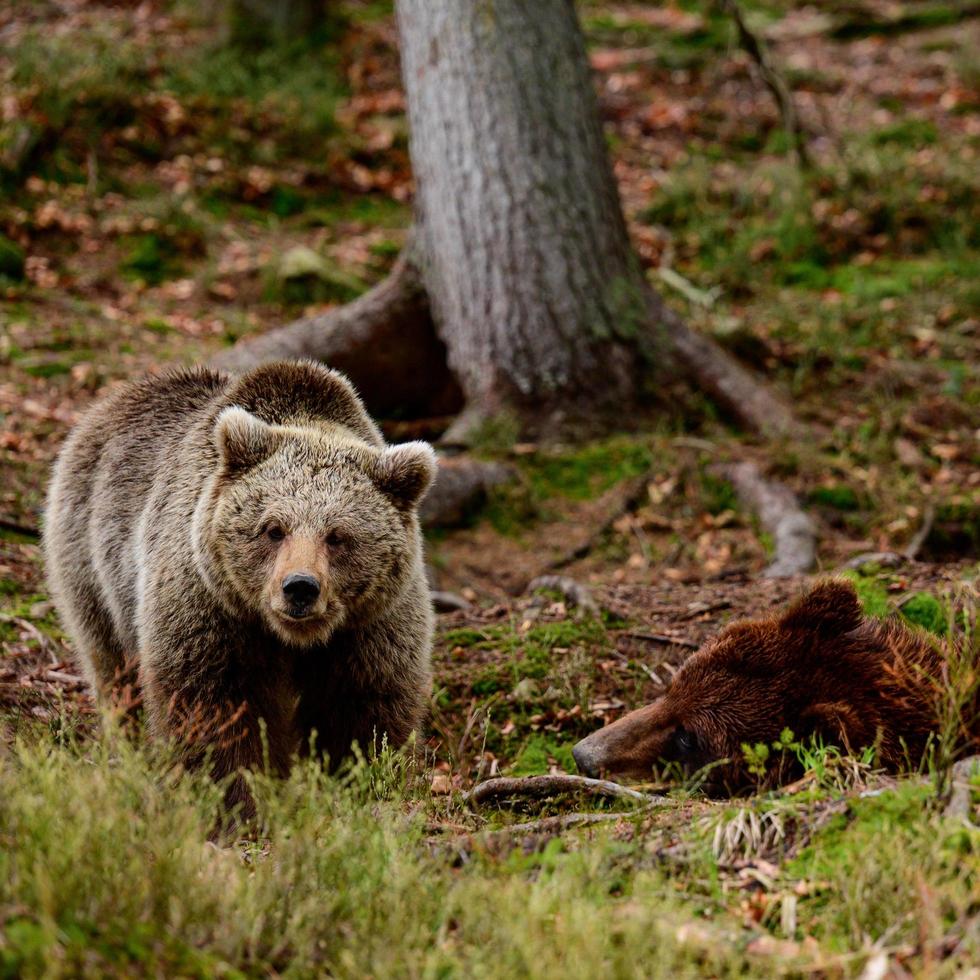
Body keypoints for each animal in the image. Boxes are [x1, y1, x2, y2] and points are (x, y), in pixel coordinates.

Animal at [45, 360, 436, 804]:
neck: (290, 638)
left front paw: (356, 787)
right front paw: (235, 797)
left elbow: (363, 716)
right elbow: (214, 710)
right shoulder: (210, 609)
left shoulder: (369, 627)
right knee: (112, 665)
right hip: (91, 559)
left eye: (337, 535)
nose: (300, 587)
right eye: (273, 529)